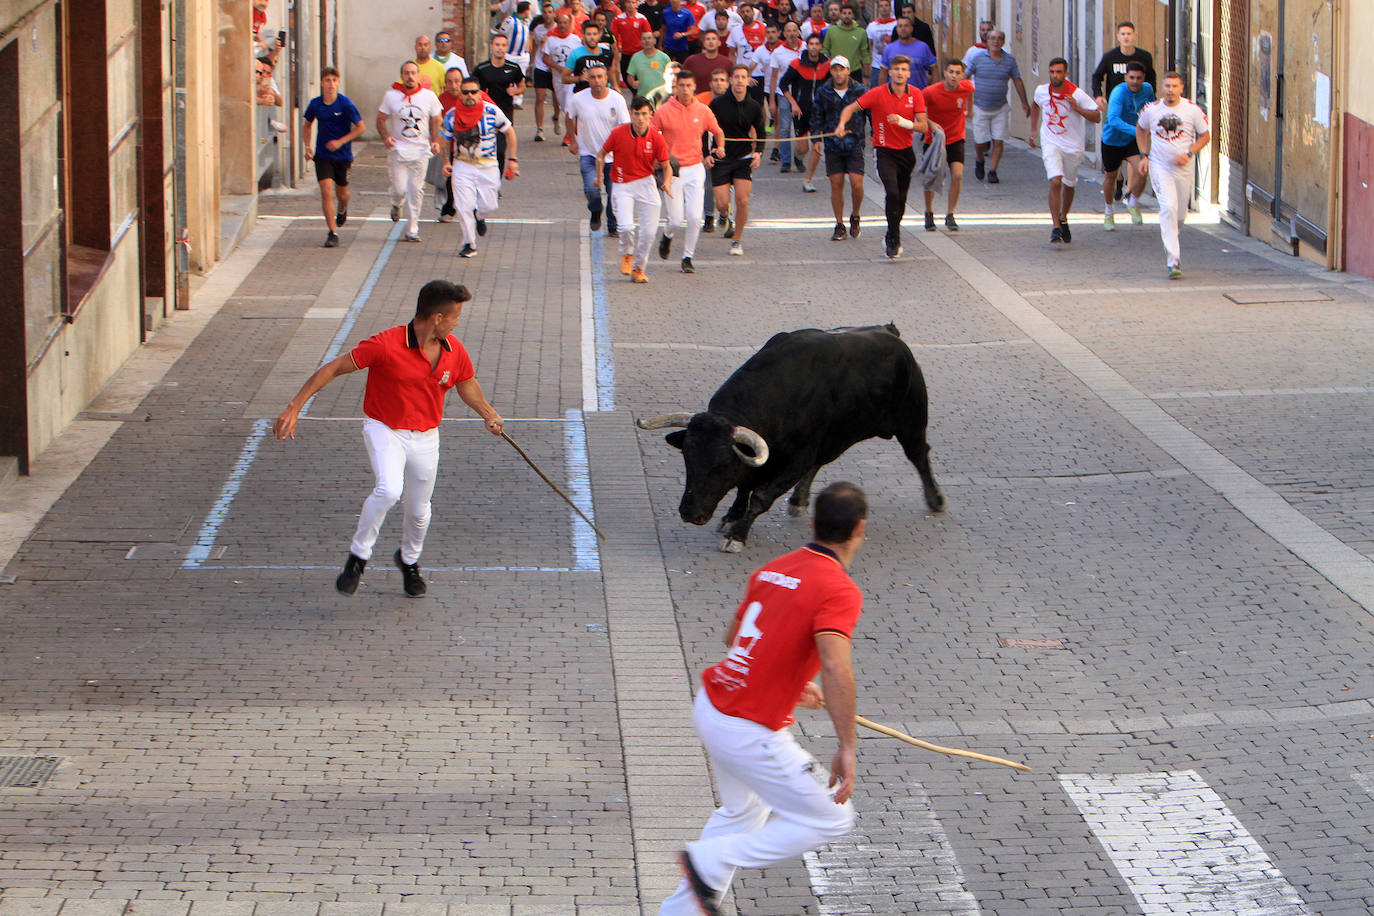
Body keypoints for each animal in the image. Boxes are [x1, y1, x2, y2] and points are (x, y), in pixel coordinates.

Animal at [634, 324, 945, 552]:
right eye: (687, 457)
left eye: (722, 464)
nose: (690, 512)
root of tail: (891, 334)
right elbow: (744, 486)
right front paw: (733, 515)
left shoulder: (797, 458)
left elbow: (760, 495)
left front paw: (737, 535)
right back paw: (799, 500)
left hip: (911, 422)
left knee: (920, 455)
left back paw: (936, 499)